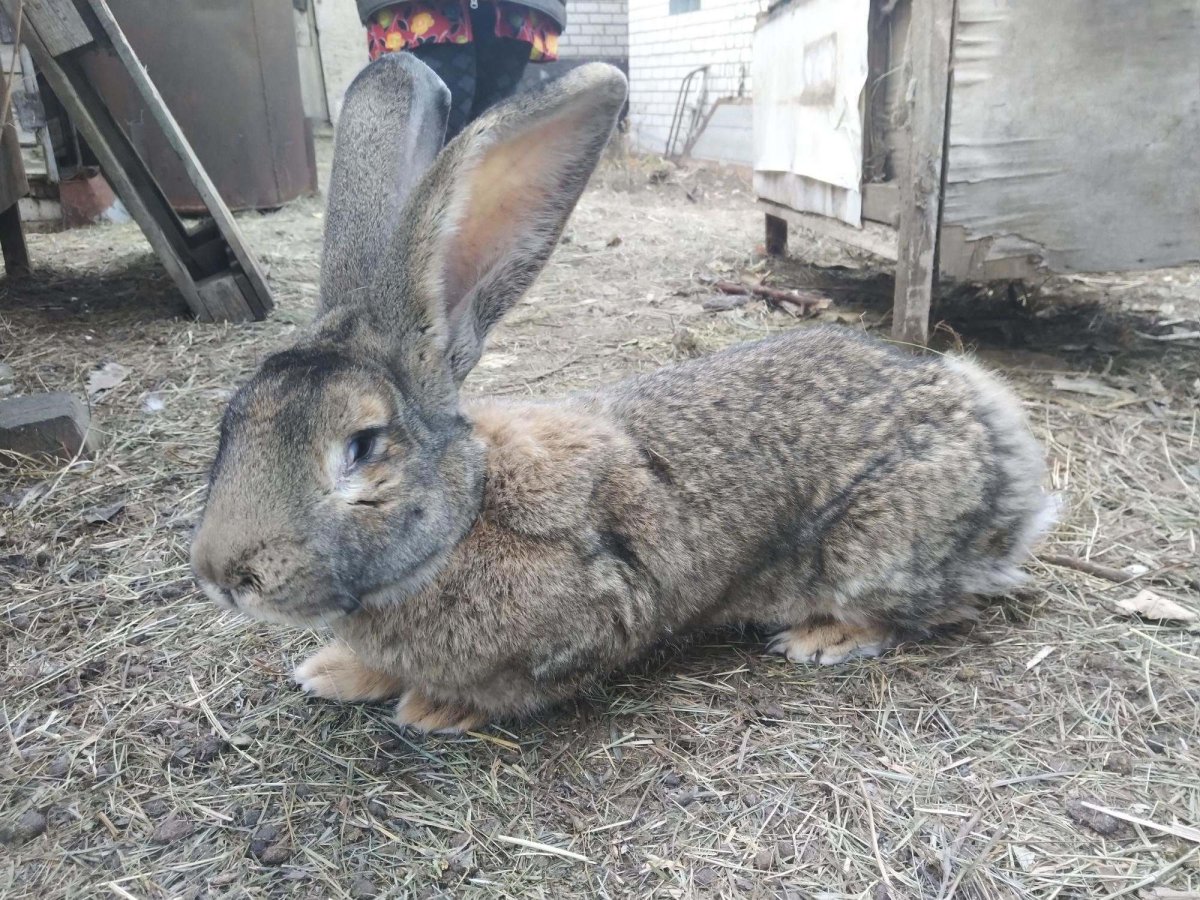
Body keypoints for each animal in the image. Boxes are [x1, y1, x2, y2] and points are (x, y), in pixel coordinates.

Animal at [190, 53, 1056, 734]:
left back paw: (822, 638)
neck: (463, 517)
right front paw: (333, 671)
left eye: (364, 448)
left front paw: (433, 706)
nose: (221, 575)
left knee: (929, 607)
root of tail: (995, 434)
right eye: (232, 424)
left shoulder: (591, 619)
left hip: (876, 549)